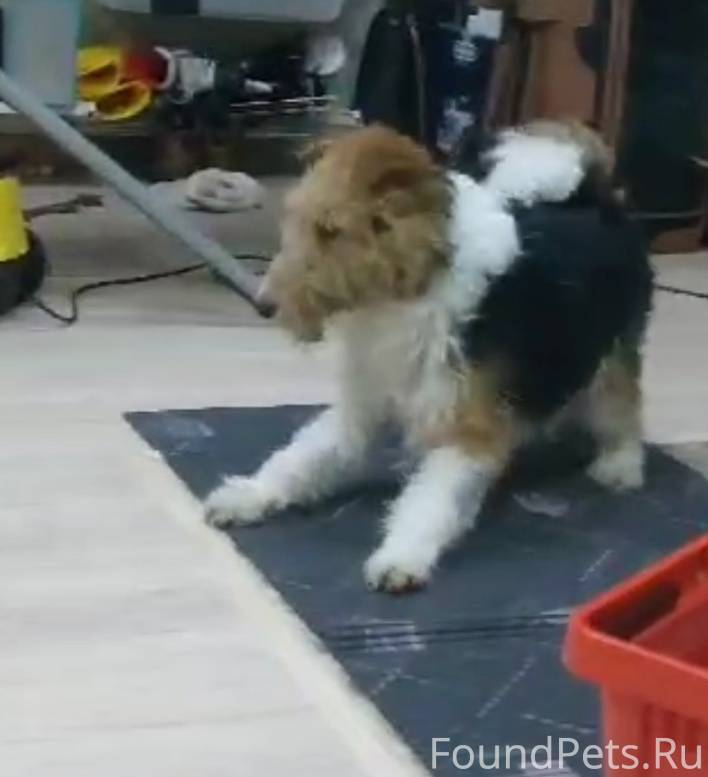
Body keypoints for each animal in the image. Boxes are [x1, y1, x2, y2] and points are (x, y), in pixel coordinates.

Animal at [205, 122, 653, 594]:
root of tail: (594, 196)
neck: (407, 293)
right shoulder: (362, 405)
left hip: (614, 353)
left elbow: (429, 501)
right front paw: (246, 496)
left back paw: (620, 467)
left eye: (331, 229)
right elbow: (300, 458)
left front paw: (400, 558)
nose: (264, 306)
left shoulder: (468, 431)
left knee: (623, 409)